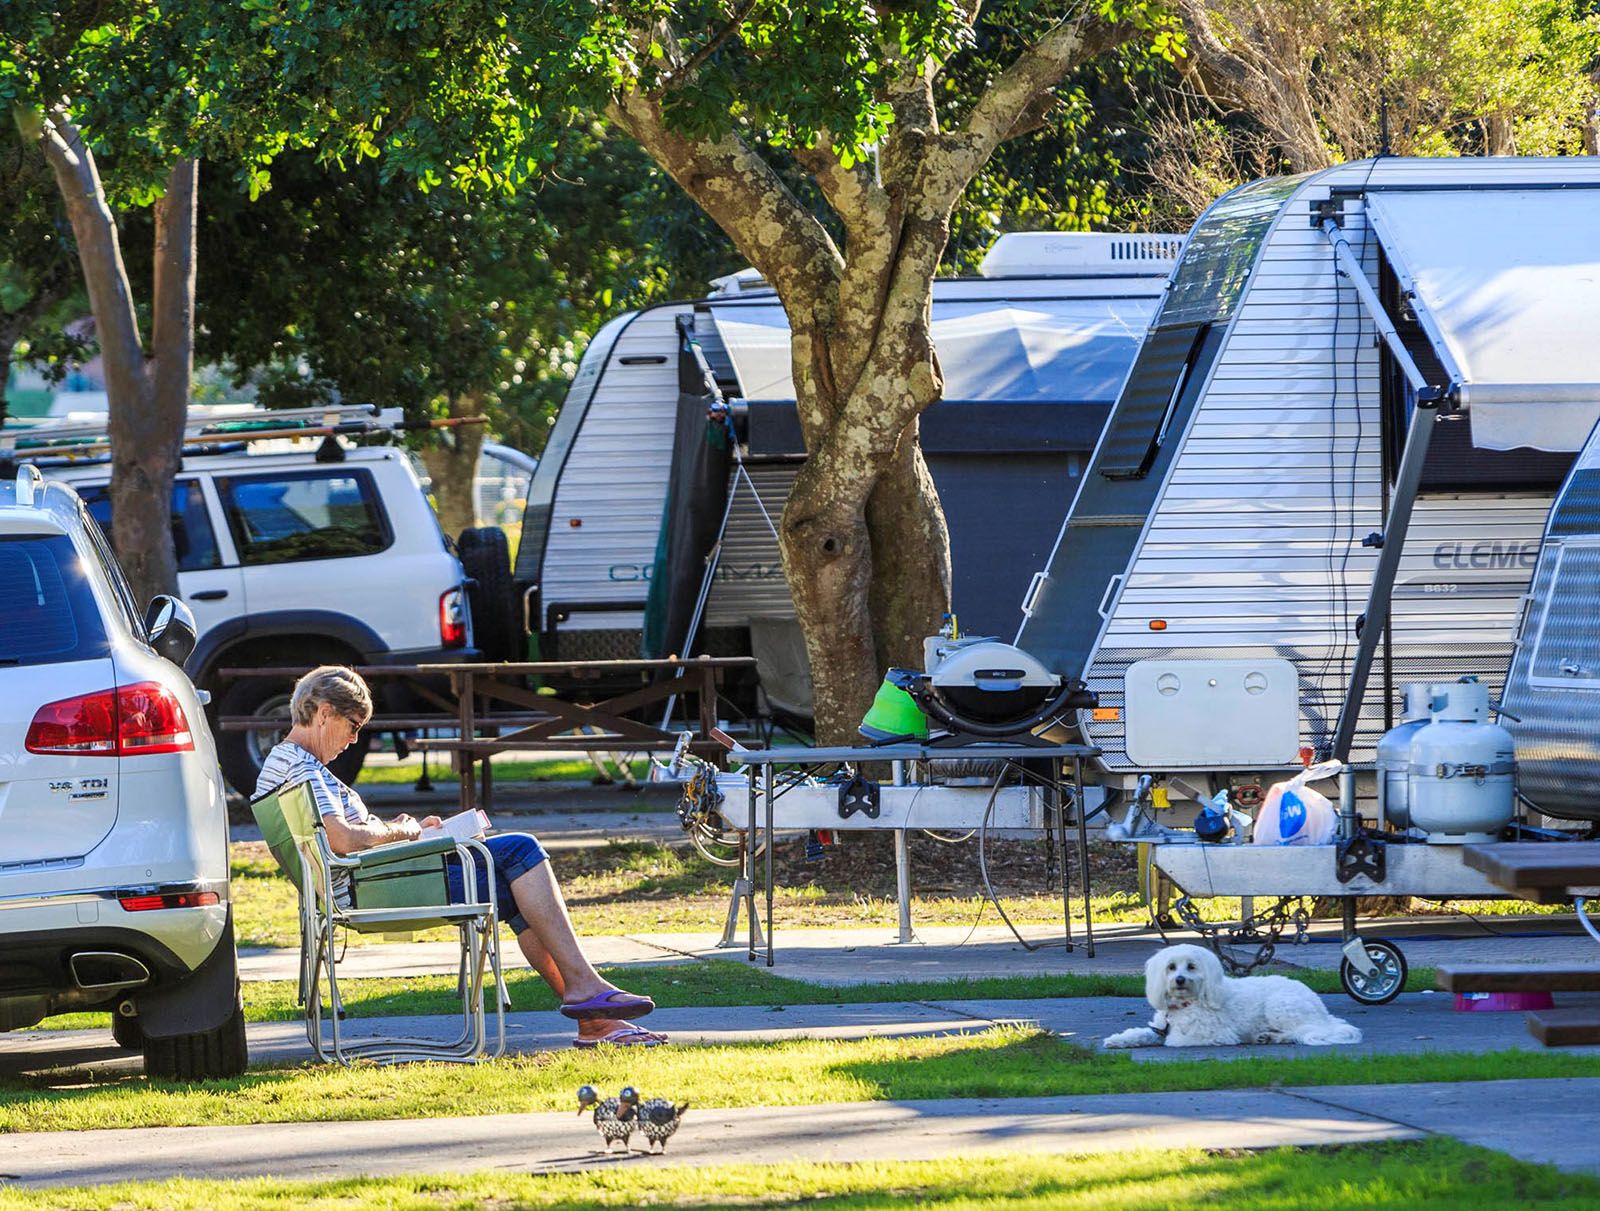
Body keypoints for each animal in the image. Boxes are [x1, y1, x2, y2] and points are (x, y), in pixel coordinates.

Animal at [1100, 940, 1363, 1043]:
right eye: (1171, 967)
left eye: (1192, 966)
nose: (1180, 980)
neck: (1188, 1003)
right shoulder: (1159, 1025)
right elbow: (1143, 1032)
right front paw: (1119, 1040)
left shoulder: (1217, 1034)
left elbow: (1176, 1040)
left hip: (1280, 1006)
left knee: (1303, 1031)